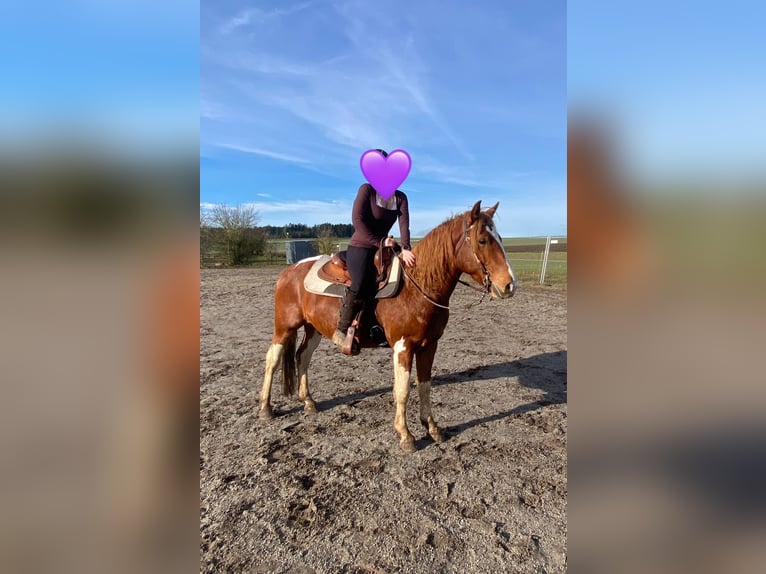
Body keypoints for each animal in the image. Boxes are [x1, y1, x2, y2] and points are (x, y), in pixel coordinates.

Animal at [259, 200, 517, 452]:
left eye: (501, 238)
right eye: (482, 240)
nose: (509, 285)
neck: (416, 286)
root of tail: (290, 271)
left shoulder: (429, 346)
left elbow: (425, 386)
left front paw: (432, 428)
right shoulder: (403, 347)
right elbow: (402, 391)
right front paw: (405, 436)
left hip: (314, 329)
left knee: (302, 357)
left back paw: (308, 402)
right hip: (285, 327)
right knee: (272, 359)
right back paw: (265, 408)